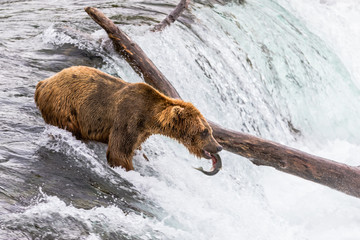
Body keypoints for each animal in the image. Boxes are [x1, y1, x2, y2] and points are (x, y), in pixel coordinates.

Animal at [35, 65, 222, 171]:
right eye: (204, 131)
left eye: (210, 131)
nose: (218, 147)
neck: (150, 118)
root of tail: (43, 83)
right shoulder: (128, 118)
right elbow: (119, 153)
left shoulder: (141, 132)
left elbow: (134, 148)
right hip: (65, 107)